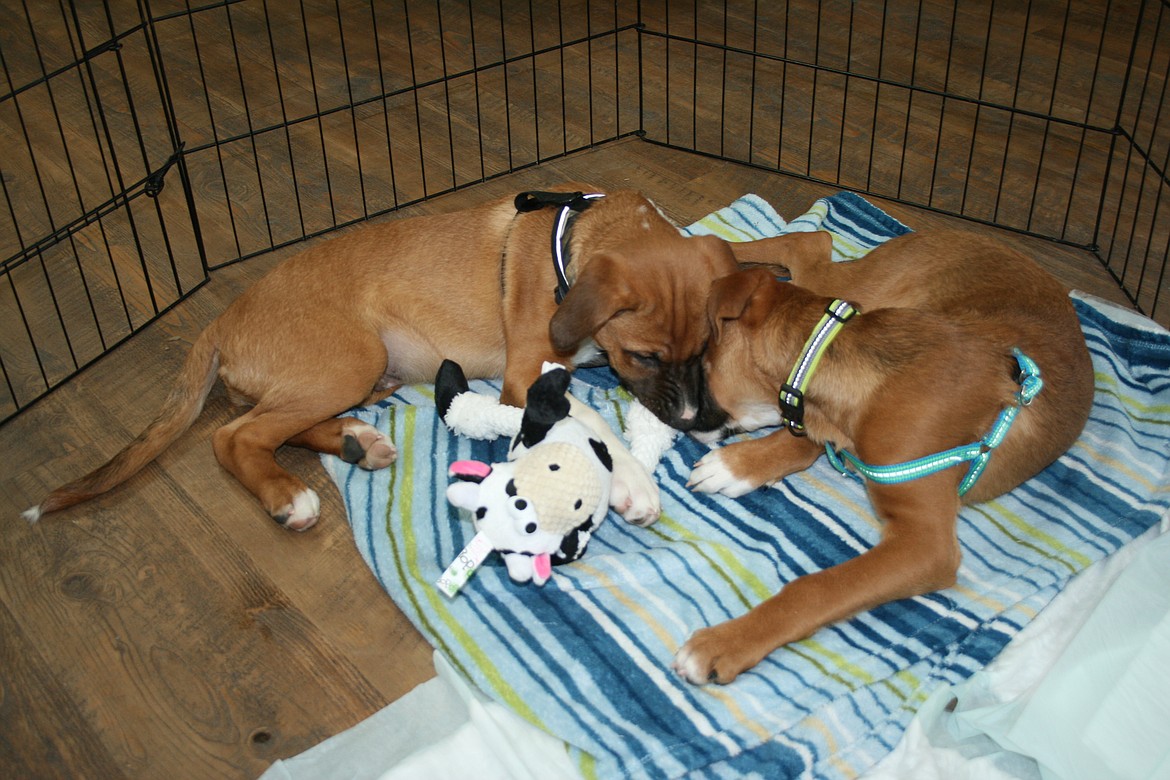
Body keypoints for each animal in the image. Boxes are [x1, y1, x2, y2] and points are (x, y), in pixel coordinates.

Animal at [25, 188, 739, 530]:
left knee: (277, 425)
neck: (573, 243)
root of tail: (222, 320)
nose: (697, 423)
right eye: (644, 355)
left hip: (364, 374)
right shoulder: (526, 375)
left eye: (707, 347)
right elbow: (584, 425)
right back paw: (288, 496)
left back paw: (354, 441)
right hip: (351, 359)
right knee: (235, 436)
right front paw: (632, 481)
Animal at [673, 226, 1090, 682]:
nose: (677, 420)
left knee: (811, 242)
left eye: (703, 363)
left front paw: (724, 643)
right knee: (809, 240)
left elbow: (815, 588)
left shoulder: (925, 544)